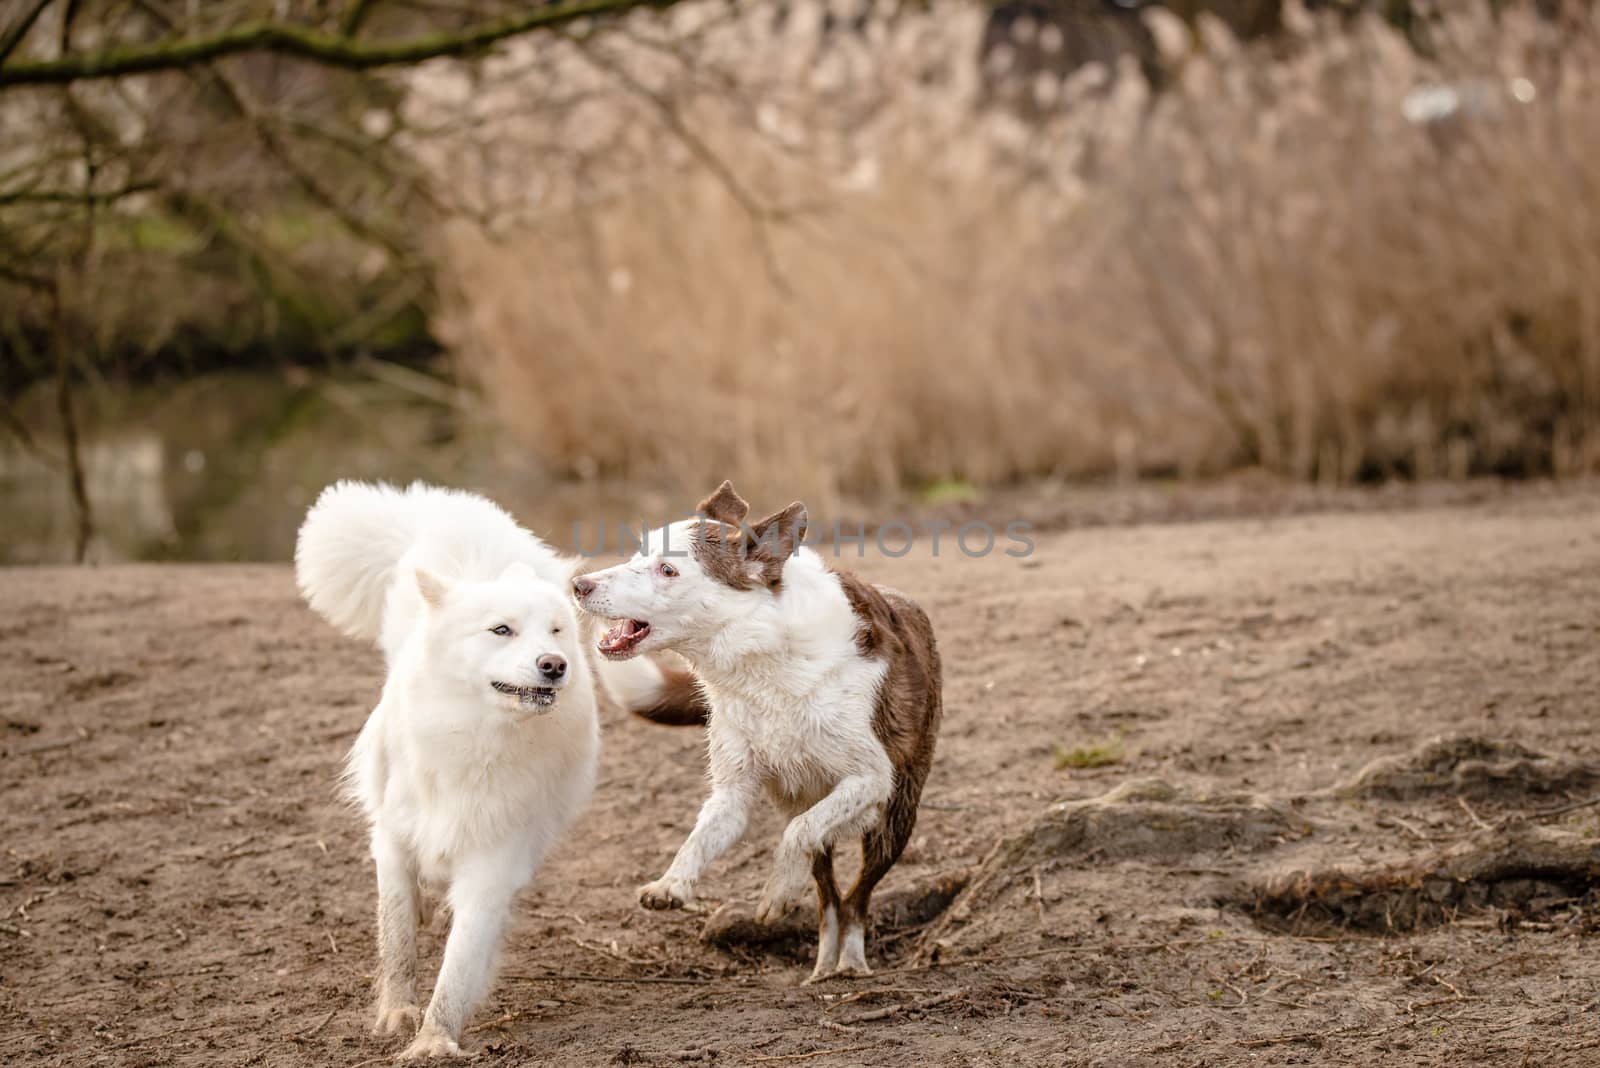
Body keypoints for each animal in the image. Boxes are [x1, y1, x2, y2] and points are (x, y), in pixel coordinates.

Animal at [296, 482, 675, 1061]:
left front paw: (434, 1039)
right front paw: (397, 1012)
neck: (477, 737)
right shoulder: (394, 839)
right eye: (502, 630)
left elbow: (459, 962)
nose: (555, 665)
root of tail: (443, 505)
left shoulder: (492, 859)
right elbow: (397, 934)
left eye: (556, 631)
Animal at [572, 482, 934, 978]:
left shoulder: (871, 777)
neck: (761, 657)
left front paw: (777, 891)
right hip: (808, 800)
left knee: (856, 894)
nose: (579, 585)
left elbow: (799, 833)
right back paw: (822, 966)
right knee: (827, 896)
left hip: (896, 817)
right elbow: (701, 836)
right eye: (635, 555)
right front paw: (672, 884)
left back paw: (851, 962)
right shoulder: (733, 789)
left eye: (667, 569)